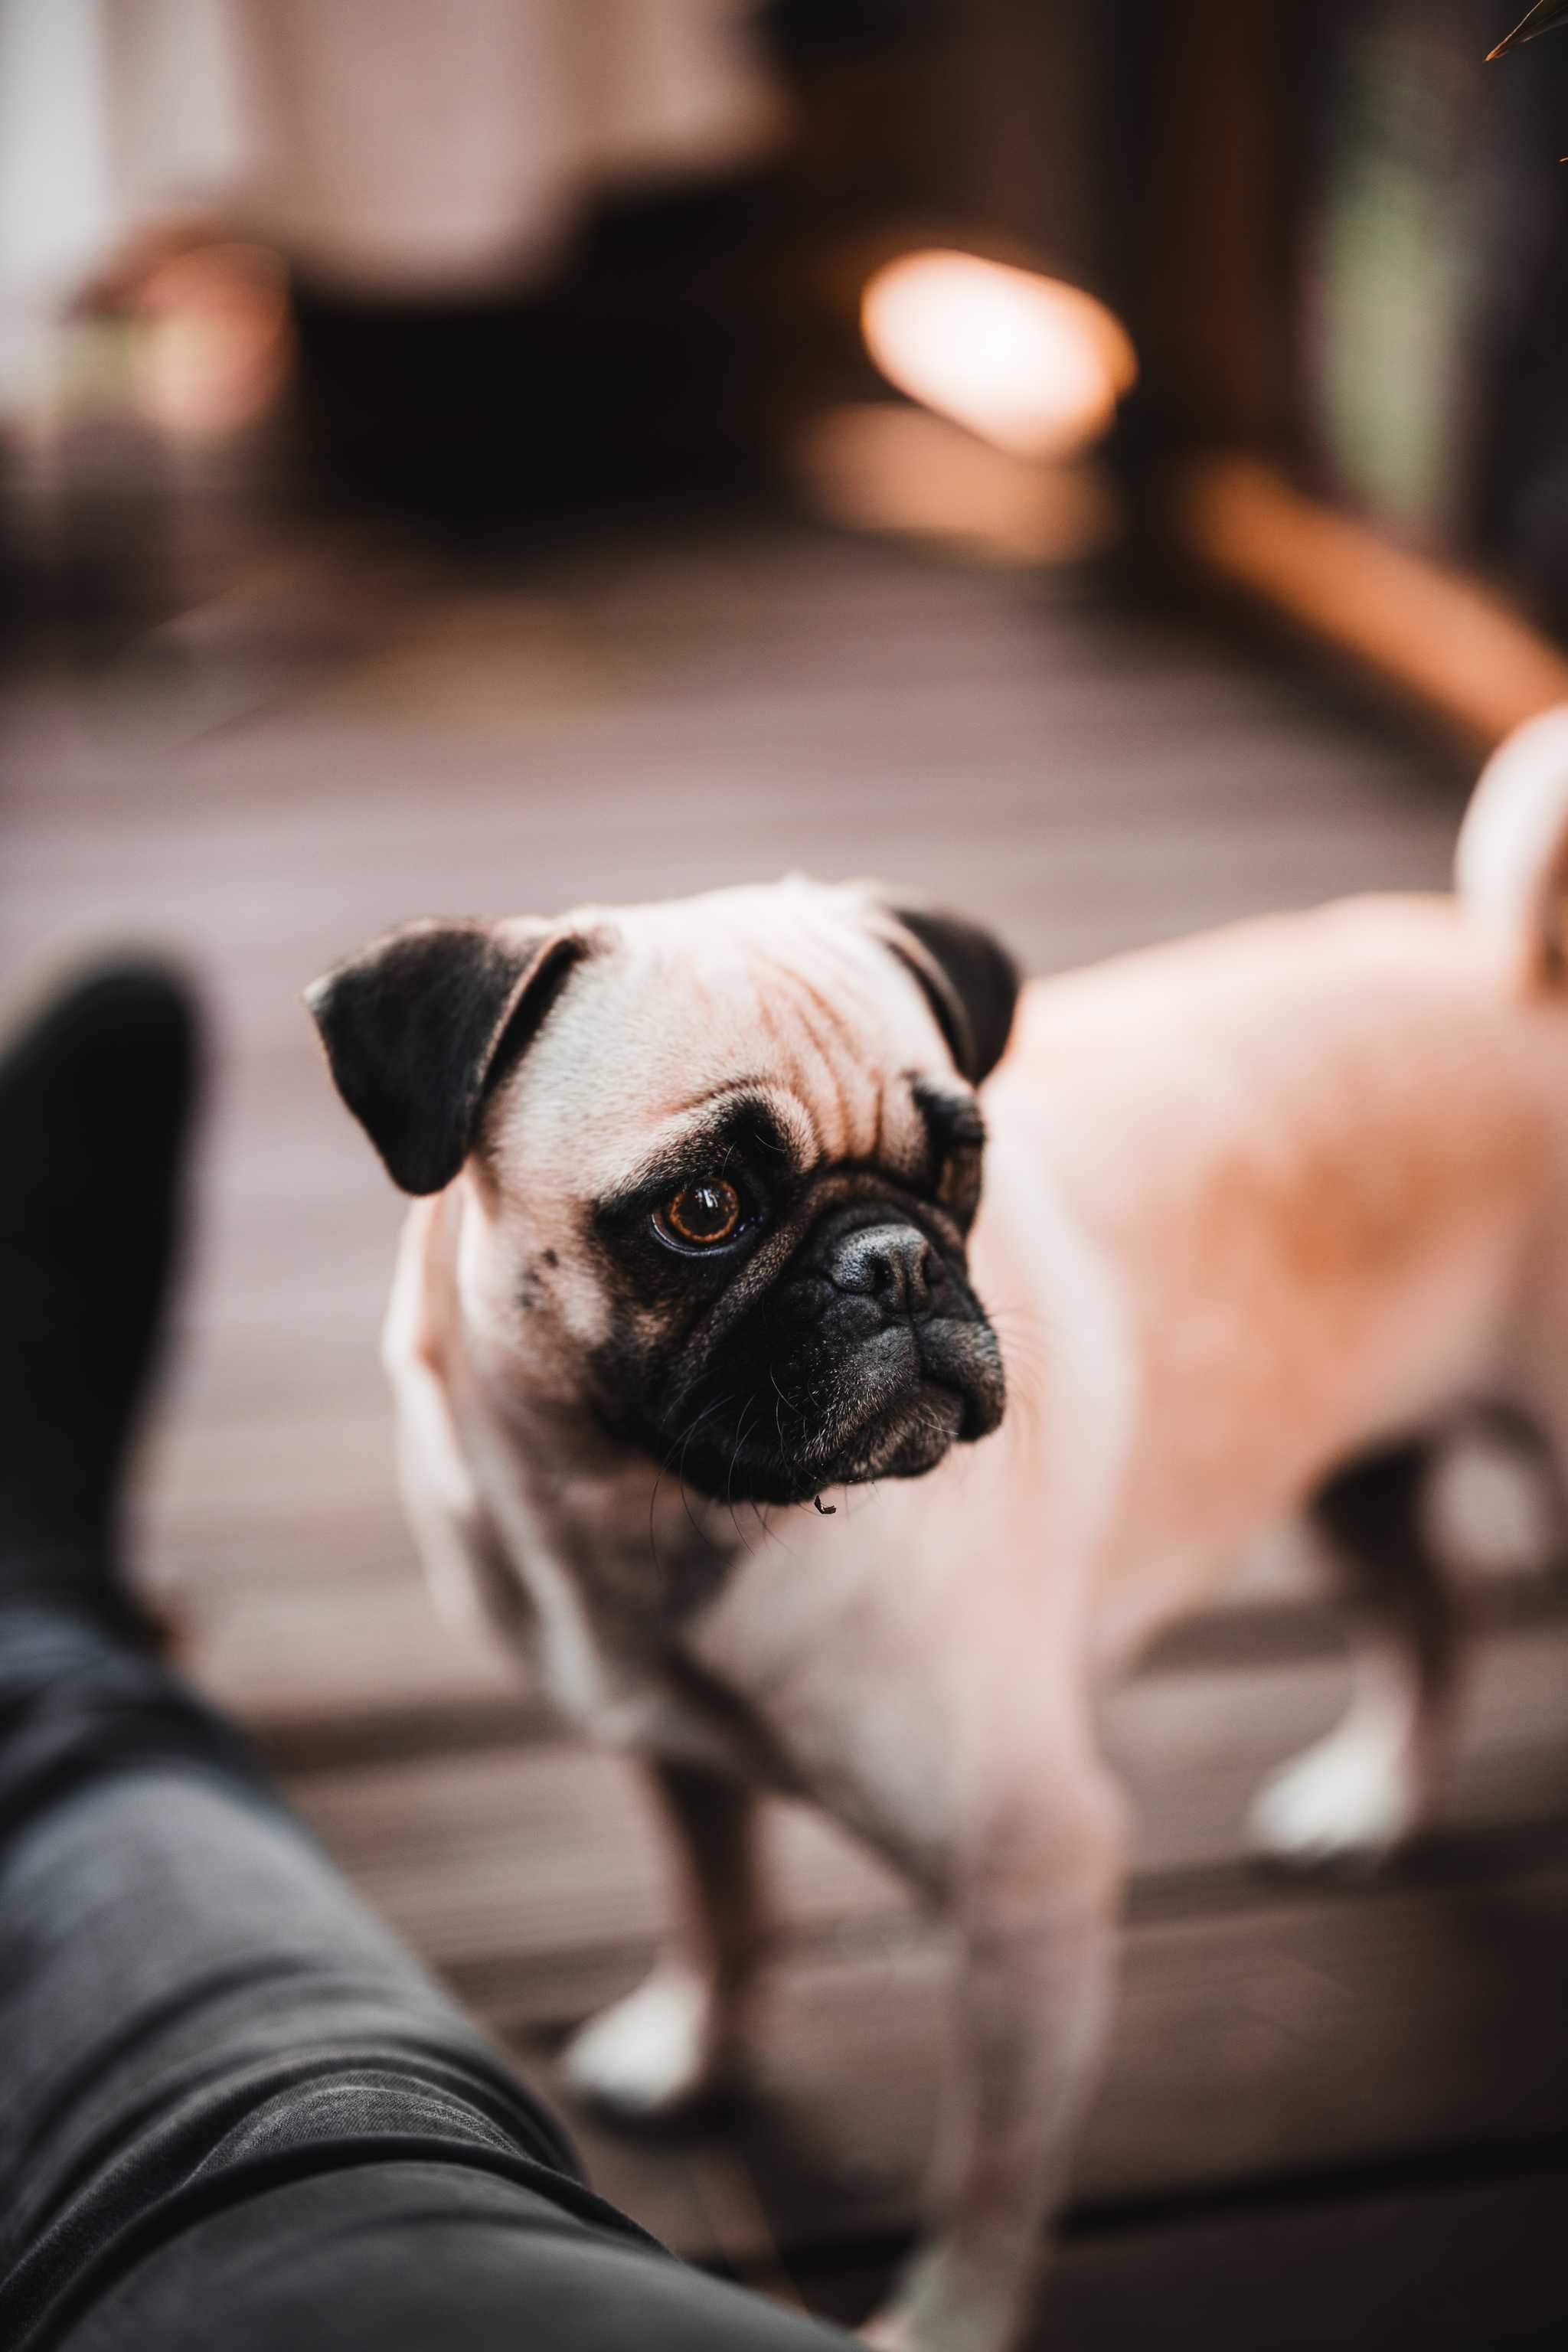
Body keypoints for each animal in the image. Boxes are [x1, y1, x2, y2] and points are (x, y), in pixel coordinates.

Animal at [310, 710, 1568, 2352]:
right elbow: (720, 1910)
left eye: (955, 1164)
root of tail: (1518, 973)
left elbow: (990, 2165)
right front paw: (691, 2046)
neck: (654, 1518)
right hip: (1352, 1468)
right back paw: (1370, 1798)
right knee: (1429, 1612)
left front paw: (949, 2319)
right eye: (702, 1210)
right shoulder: (675, 1760)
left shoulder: (1030, 1888)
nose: (894, 1259)